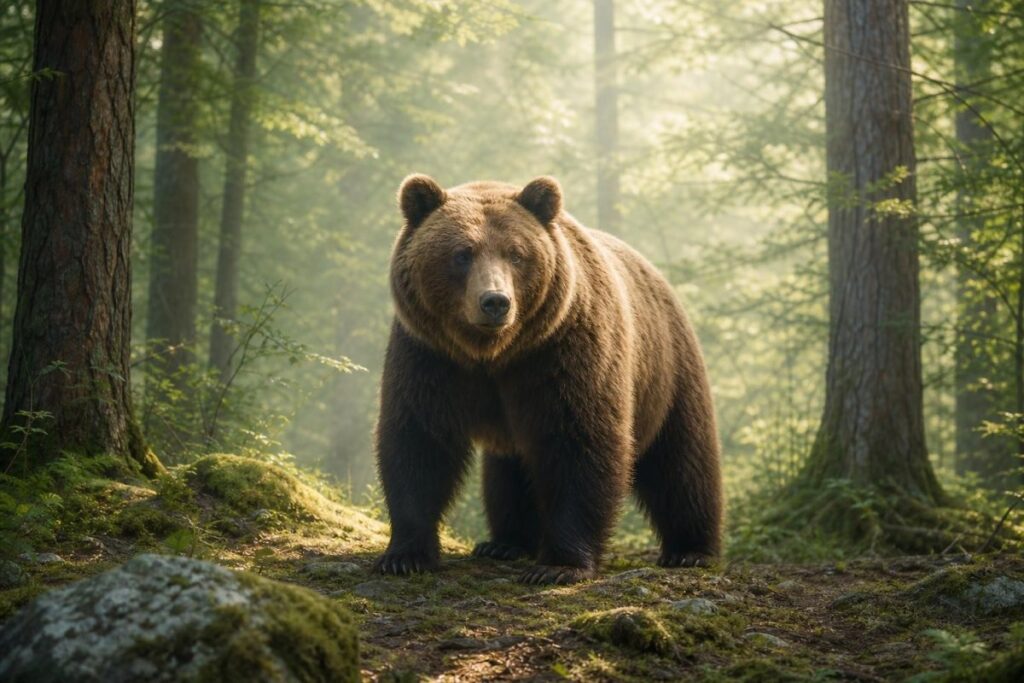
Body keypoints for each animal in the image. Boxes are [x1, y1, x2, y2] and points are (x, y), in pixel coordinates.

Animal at [373, 174, 722, 585]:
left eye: (516, 254)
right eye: (462, 253)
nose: (495, 302)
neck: (495, 353)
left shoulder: (563, 352)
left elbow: (578, 442)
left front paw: (558, 566)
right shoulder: (430, 356)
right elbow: (419, 440)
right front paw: (404, 555)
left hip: (668, 371)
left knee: (682, 461)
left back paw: (692, 550)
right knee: (509, 472)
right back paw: (505, 543)